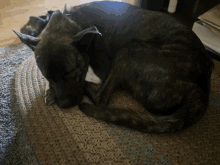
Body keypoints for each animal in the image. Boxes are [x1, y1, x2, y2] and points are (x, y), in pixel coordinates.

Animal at [12, 0, 214, 133]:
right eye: (47, 76)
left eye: (73, 72)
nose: (64, 105)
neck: (74, 21)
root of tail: (200, 89)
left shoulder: (100, 70)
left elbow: (89, 77)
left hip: (129, 50)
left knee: (100, 99)